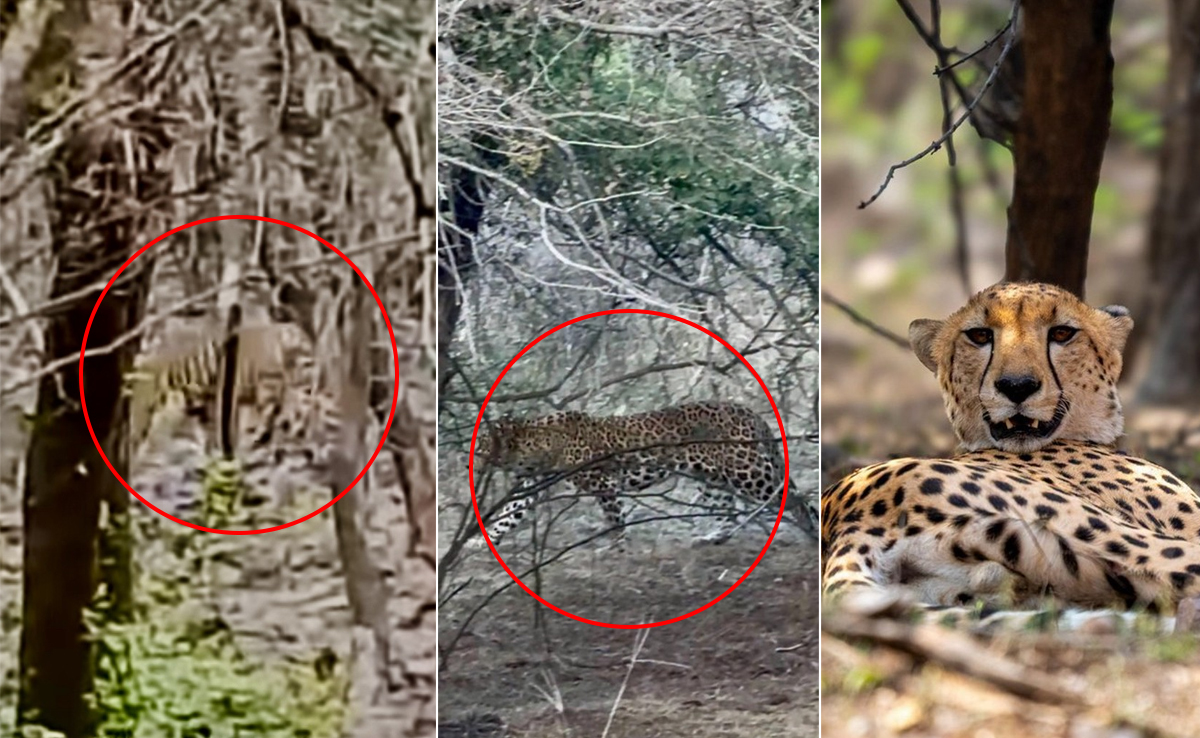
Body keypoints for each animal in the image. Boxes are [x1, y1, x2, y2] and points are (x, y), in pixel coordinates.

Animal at [472, 401, 818, 549]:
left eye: (482, 446)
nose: (469, 463)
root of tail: (750, 412)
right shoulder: (534, 484)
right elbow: (509, 512)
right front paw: (483, 539)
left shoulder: (603, 482)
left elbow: (614, 517)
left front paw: (616, 545)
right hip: (715, 477)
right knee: (728, 510)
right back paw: (713, 538)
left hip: (748, 471)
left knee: (792, 498)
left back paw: (812, 533)